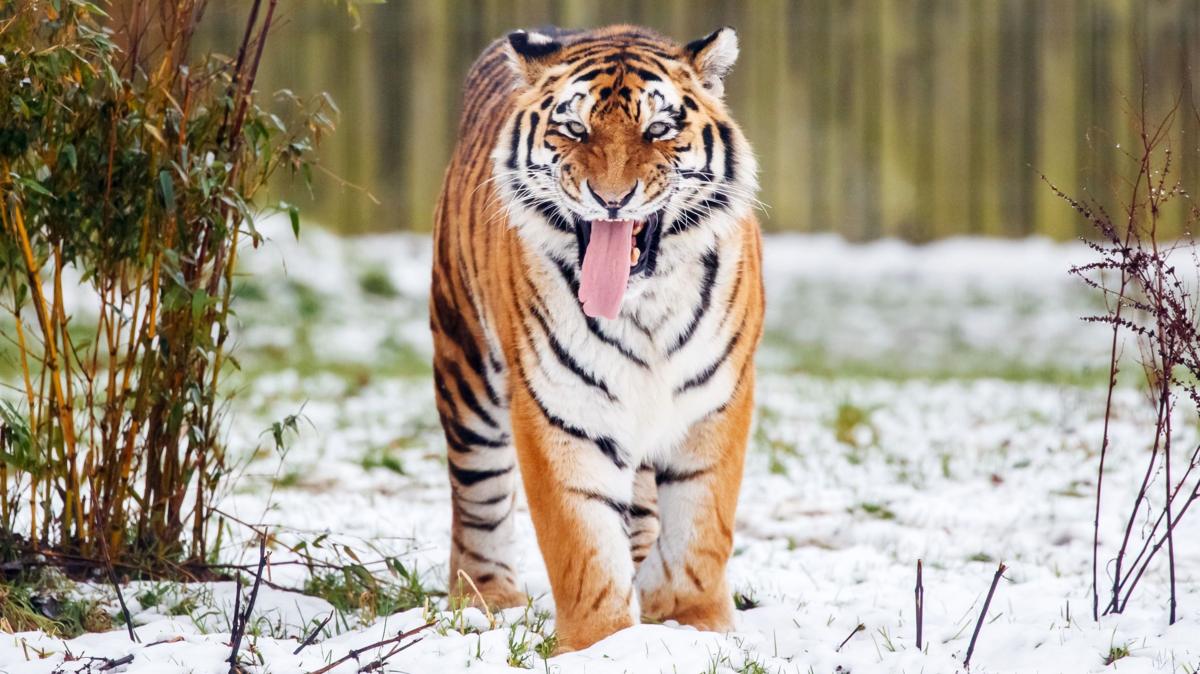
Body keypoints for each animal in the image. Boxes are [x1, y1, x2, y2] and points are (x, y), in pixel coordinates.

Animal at [430, 24, 764, 652]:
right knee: (478, 494)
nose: (612, 198)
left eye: (658, 129)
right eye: (574, 129)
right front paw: (602, 644)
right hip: (466, 368)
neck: (644, 305)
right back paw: (487, 598)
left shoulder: (716, 400)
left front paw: (694, 623)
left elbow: (701, 527)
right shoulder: (560, 408)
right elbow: (583, 543)